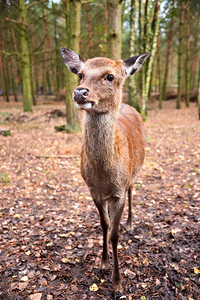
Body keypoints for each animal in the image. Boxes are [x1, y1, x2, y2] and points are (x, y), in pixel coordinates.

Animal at [61, 45, 150, 292]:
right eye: (80, 74)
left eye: (110, 76)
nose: (80, 93)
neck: (104, 175)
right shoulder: (93, 191)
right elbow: (104, 225)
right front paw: (103, 262)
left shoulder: (117, 191)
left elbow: (115, 234)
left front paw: (117, 281)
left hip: (134, 172)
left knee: (132, 190)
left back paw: (130, 223)